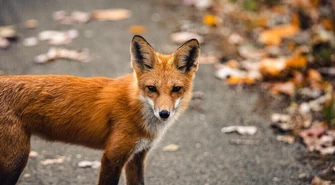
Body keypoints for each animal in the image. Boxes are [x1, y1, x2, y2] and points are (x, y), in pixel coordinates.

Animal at [0, 35, 200, 184]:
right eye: (152, 88)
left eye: (176, 89)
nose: (164, 114)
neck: (135, 105)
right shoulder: (113, 157)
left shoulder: (137, 156)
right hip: (16, 160)